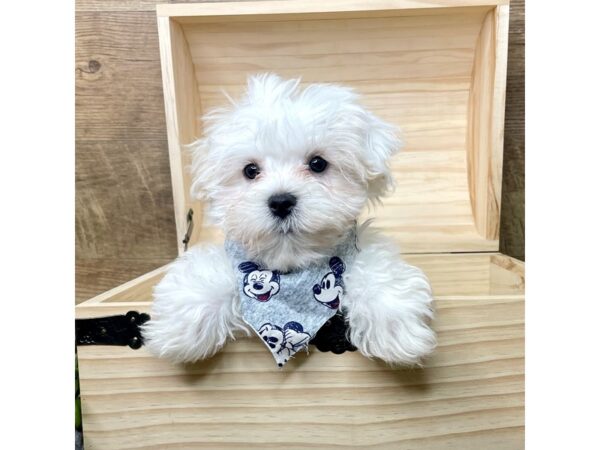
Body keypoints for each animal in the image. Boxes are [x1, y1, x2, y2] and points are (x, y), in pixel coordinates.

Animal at [145, 74, 436, 368]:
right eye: (250, 170)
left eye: (318, 163)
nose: (281, 202)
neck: (291, 268)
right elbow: (205, 276)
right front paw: (179, 328)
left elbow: (378, 270)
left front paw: (393, 324)